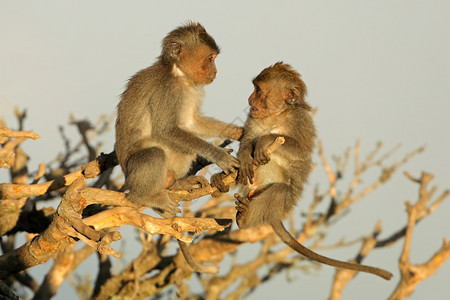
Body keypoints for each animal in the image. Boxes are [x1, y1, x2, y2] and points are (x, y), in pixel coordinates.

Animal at [116, 22, 243, 274]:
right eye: (211, 58)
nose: (215, 71)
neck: (179, 75)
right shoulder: (168, 90)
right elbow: (167, 130)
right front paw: (219, 156)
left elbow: (191, 124)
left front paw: (236, 131)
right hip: (134, 172)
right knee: (155, 154)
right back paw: (144, 196)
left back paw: (176, 183)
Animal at [213, 62, 392, 280]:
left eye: (258, 90)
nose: (249, 100)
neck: (276, 115)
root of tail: (274, 213)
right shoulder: (252, 119)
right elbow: (245, 144)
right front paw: (247, 156)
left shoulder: (300, 121)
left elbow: (300, 150)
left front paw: (265, 140)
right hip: (249, 186)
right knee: (241, 175)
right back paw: (221, 181)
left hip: (285, 201)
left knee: (280, 189)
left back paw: (246, 217)